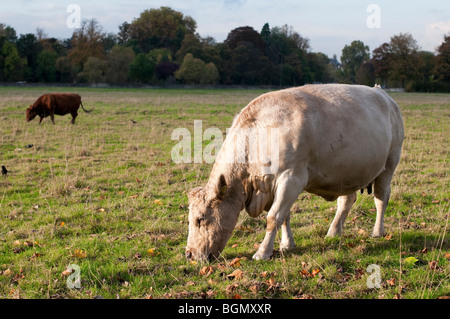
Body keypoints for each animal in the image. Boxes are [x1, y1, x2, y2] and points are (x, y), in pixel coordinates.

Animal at [185, 84, 404, 262]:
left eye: (200, 219)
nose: (189, 254)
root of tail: (382, 93)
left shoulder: (291, 178)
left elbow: (274, 217)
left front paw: (262, 252)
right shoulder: (274, 186)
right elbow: (284, 216)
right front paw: (286, 244)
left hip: (389, 165)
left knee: (381, 199)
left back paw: (377, 232)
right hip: (346, 172)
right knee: (346, 201)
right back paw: (334, 231)